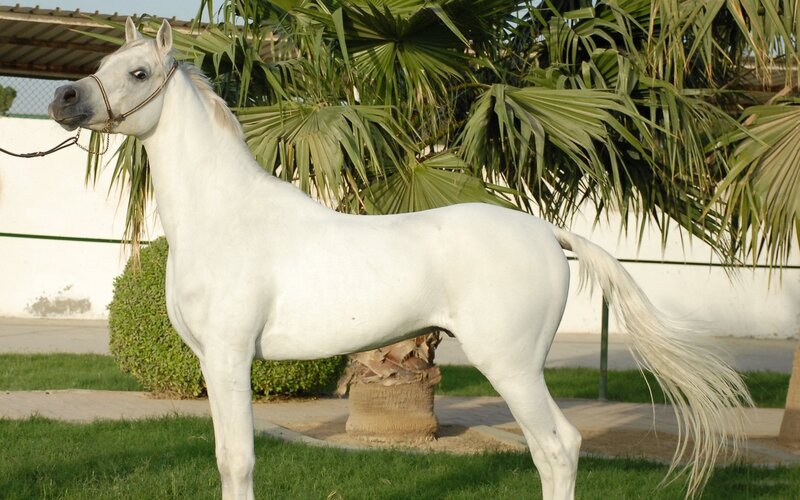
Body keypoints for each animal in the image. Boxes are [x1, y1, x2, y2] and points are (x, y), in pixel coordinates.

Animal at [49, 18, 750, 500]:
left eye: (139, 73)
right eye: (104, 61)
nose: (62, 100)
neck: (229, 218)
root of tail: (549, 236)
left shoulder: (230, 357)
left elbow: (239, 460)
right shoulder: (209, 361)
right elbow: (225, 456)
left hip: (512, 366)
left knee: (557, 447)